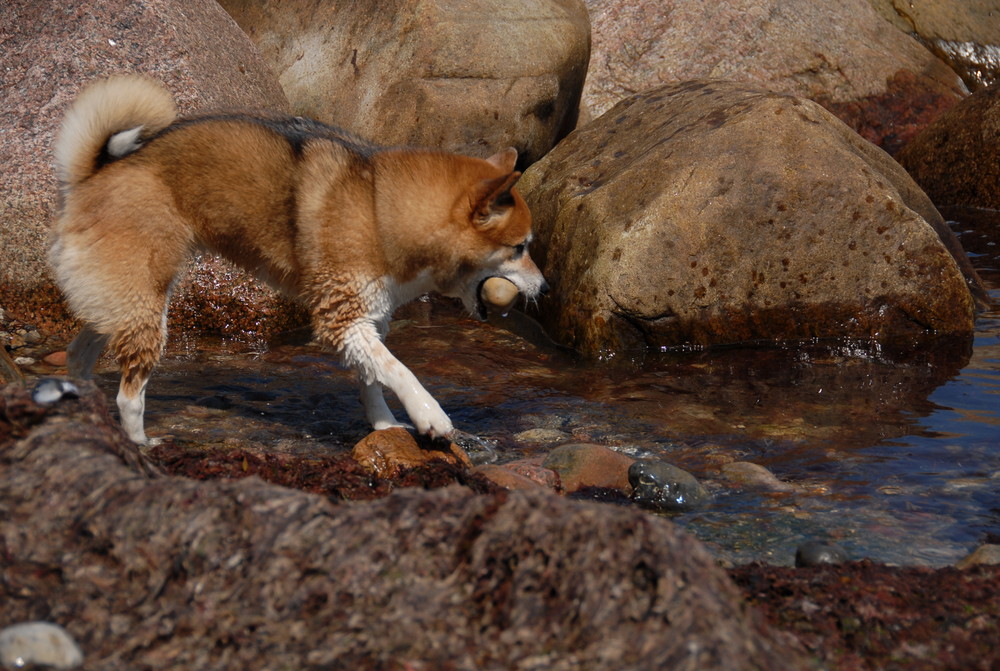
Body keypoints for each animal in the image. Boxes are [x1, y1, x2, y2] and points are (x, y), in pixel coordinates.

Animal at [50, 76, 548, 446]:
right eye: (520, 248)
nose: (544, 287)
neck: (379, 209)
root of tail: (92, 175)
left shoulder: (366, 319)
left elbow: (372, 378)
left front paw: (385, 426)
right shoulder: (342, 317)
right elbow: (399, 370)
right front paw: (430, 415)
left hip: (120, 302)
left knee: (78, 356)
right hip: (146, 304)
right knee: (129, 396)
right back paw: (140, 443)